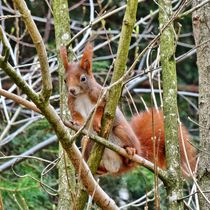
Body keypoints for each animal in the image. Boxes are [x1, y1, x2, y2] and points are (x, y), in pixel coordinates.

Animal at [60, 43, 196, 176]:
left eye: (83, 78)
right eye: (65, 80)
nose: (72, 90)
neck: (82, 95)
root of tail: (114, 166)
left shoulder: (101, 96)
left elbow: (101, 109)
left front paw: (96, 121)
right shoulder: (72, 103)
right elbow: (76, 115)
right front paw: (75, 122)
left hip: (122, 133)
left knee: (128, 156)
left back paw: (130, 152)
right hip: (90, 145)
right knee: (88, 146)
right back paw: (97, 168)